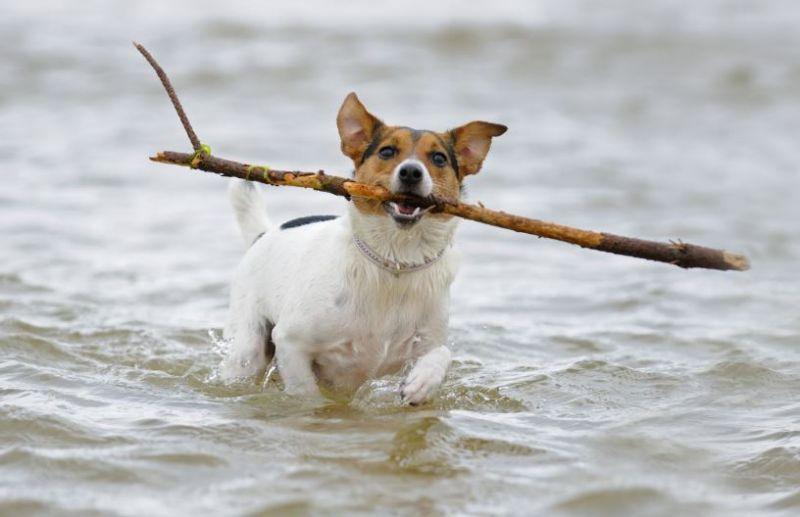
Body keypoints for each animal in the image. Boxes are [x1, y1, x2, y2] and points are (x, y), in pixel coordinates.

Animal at [219, 91, 506, 404]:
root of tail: (263, 233)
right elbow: (306, 392)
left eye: (439, 158)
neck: (395, 261)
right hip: (248, 349)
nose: (411, 172)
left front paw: (422, 382)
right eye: (387, 152)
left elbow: (442, 353)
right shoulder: (290, 341)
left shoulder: (426, 340)